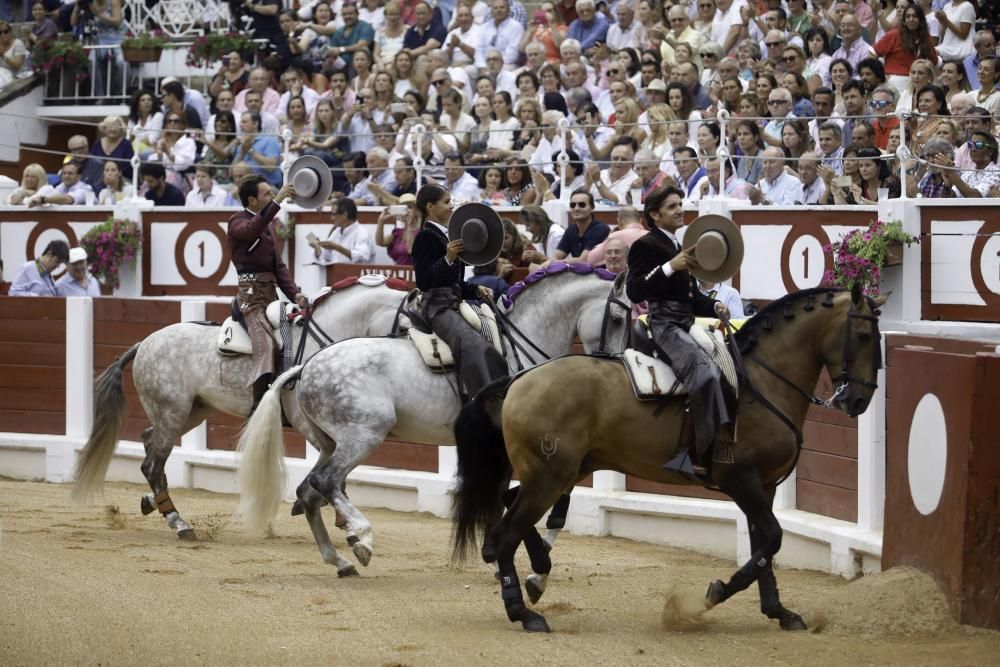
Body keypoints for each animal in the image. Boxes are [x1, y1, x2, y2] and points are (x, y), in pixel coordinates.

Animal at [72, 280, 412, 540]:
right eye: (410, 323)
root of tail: (144, 343)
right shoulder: (310, 424)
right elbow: (334, 469)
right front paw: (337, 517)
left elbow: (336, 471)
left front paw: (335, 516)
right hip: (172, 412)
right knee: (152, 464)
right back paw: (180, 524)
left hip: (191, 412)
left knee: (148, 441)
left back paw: (153, 502)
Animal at [452, 286, 884, 632]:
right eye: (863, 335)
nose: (858, 400)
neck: (761, 383)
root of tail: (517, 381)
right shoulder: (740, 480)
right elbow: (773, 538)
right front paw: (714, 593)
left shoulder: (764, 486)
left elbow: (765, 544)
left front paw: (778, 610)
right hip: (549, 477)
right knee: (505, 532)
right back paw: (523, 612)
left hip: (560, 472)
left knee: (508, 508)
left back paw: (536, 577)